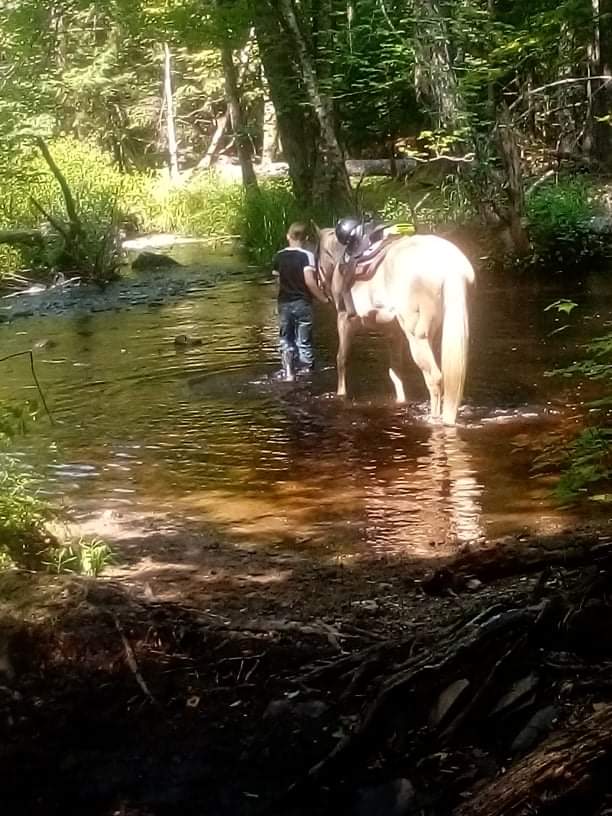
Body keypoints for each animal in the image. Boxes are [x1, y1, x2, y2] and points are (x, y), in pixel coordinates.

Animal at [318, 226, 476, 424]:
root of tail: (451, 265)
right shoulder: (393, 332)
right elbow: (395, 371)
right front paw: (400, 400)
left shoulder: (345, 320)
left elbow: (341, 359)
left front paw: (341, 394)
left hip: (416, 337)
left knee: (434, 378)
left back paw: (434, 418)